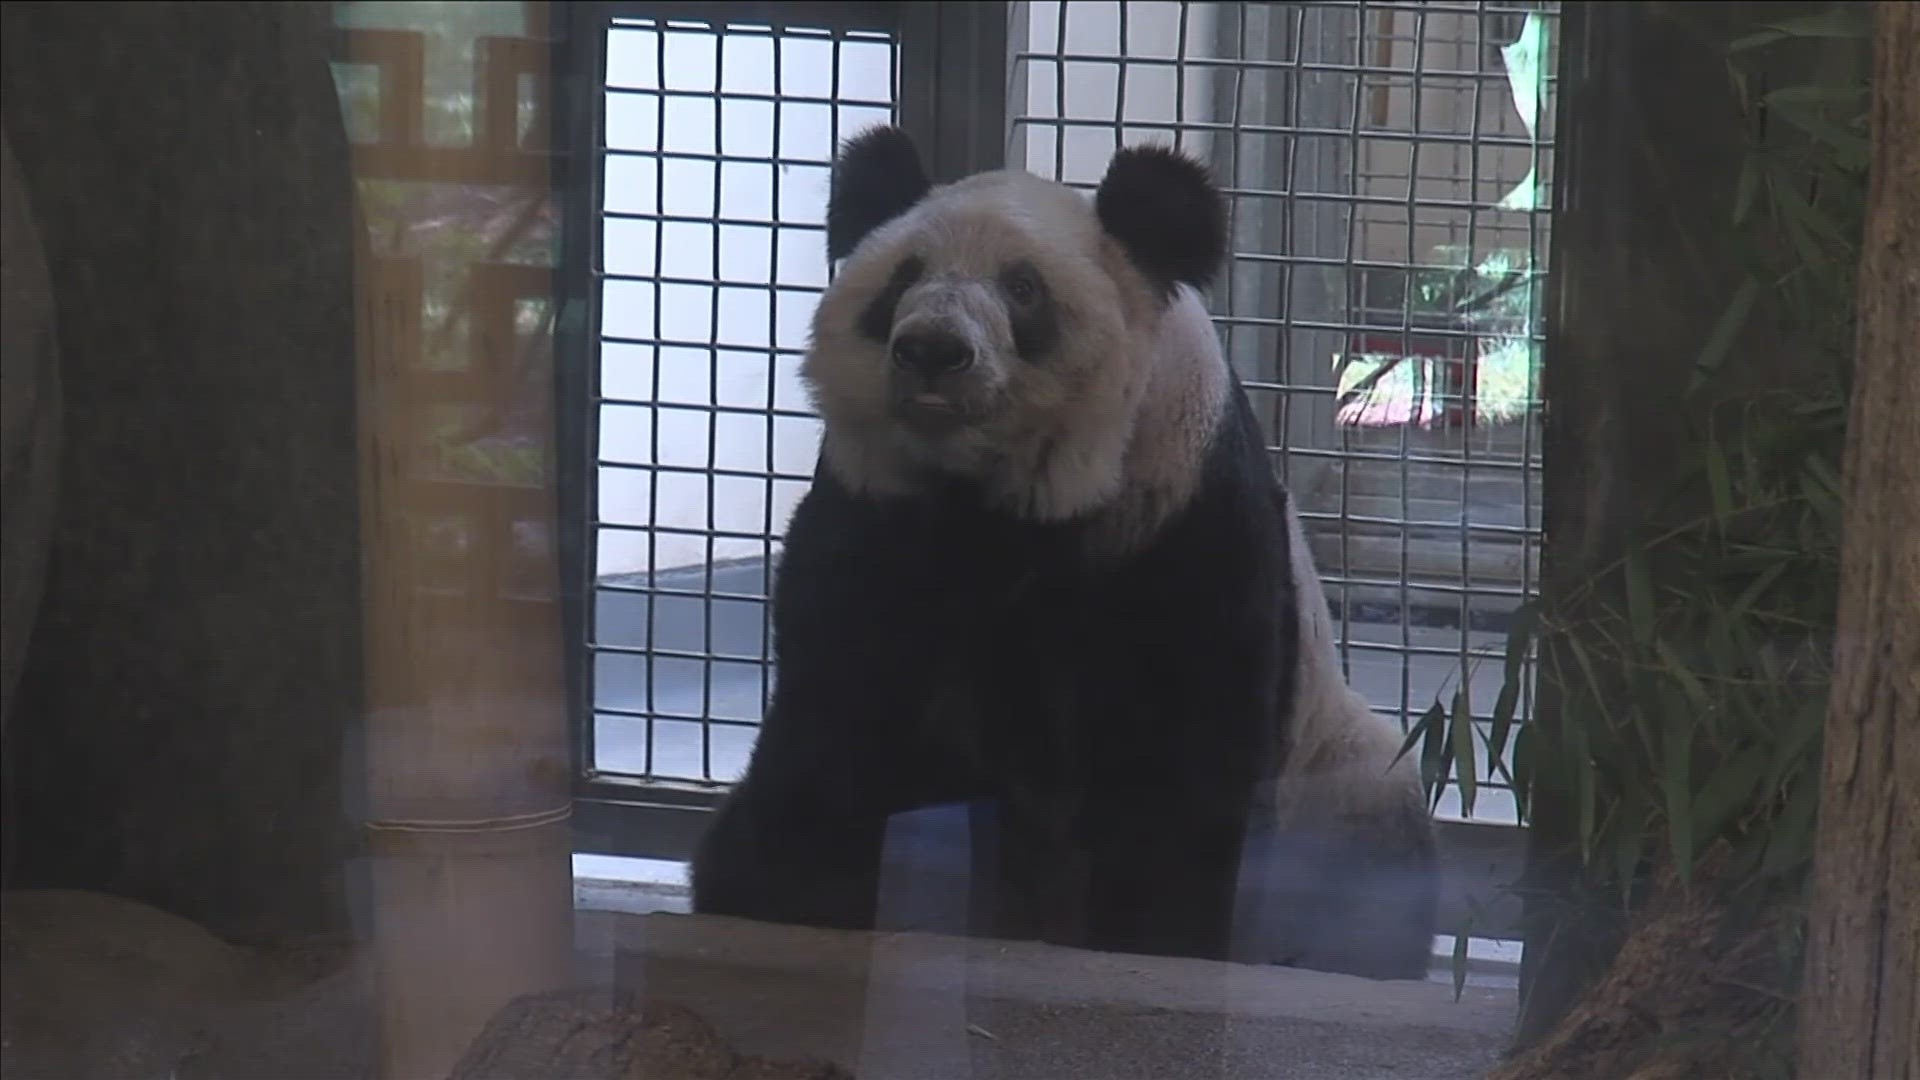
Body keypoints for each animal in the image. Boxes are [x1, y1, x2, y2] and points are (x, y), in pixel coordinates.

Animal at [691, 123, 1443, 976]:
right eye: (904, 277)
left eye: (1022, 288)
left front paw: (1156, 948)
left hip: (1341, 785)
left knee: (1368, 878)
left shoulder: (1179, 518)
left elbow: (1179, 772)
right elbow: (838, 721)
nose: (933, 350)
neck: (992, 499)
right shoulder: (871, 516)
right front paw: (798, 910)